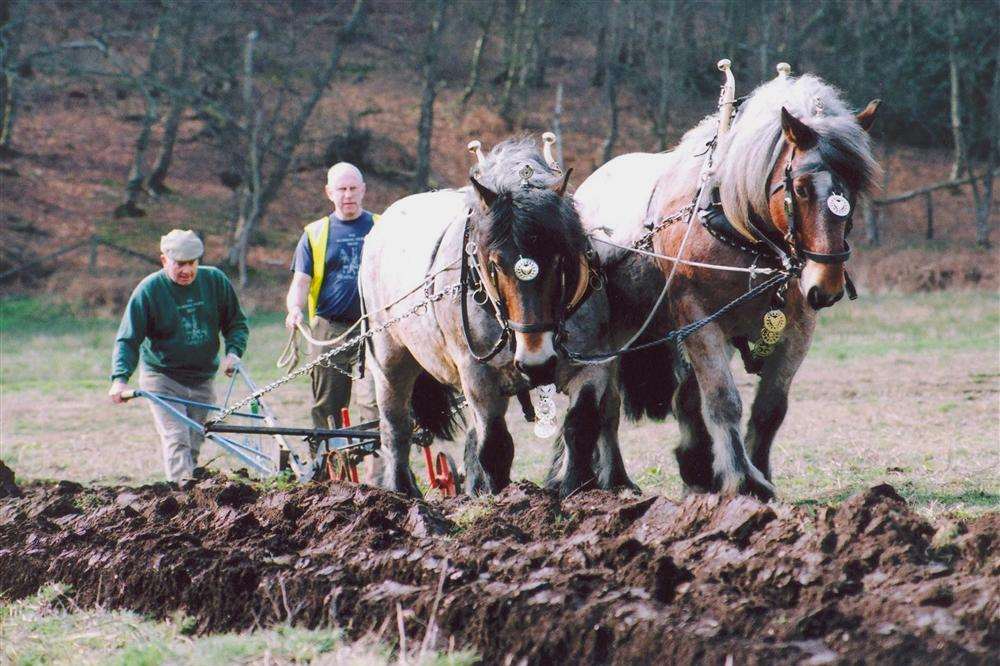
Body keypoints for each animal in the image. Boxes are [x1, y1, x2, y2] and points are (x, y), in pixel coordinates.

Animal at [364, 137, 636, 496]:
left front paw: (573, 489)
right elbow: (495, 444)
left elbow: (582, 425)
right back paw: (401, 491)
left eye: (561, 258)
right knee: (395, 425)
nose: (537, 362)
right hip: (389, 359)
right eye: (494, 263)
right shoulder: (477, 374)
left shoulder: (592, 363)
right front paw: (501, 498)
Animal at [576, 72, 880, 498]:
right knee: (607, 401)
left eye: (853, 188)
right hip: (614, 335)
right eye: (801, 188)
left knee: (685, 399)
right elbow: (723, 400)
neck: (738, 224)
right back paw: (614, 478)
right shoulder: (698, 319)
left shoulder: (797, 327)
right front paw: (742, 479)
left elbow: (770, 408)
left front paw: (757, 472)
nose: (827, 286)